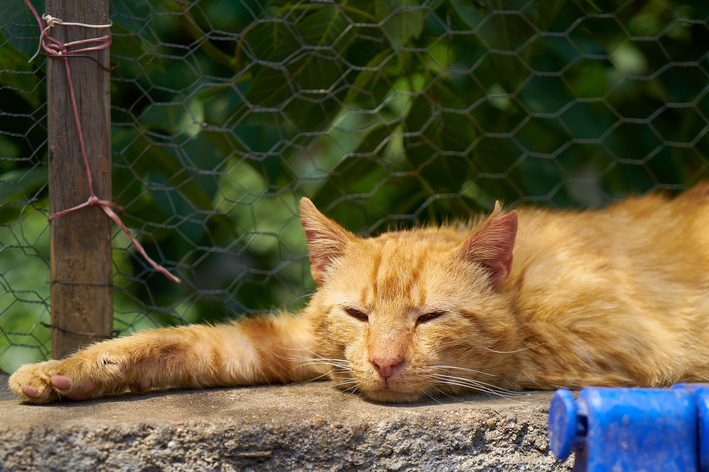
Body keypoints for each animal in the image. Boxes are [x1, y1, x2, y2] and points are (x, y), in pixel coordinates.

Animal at [8, 186, 708, 404]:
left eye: (430, 317)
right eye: (357, 314)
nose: (385, 362)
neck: (521, 294)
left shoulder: (621, 351)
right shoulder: (300, 342)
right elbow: (190, 344)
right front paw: (69, 370)